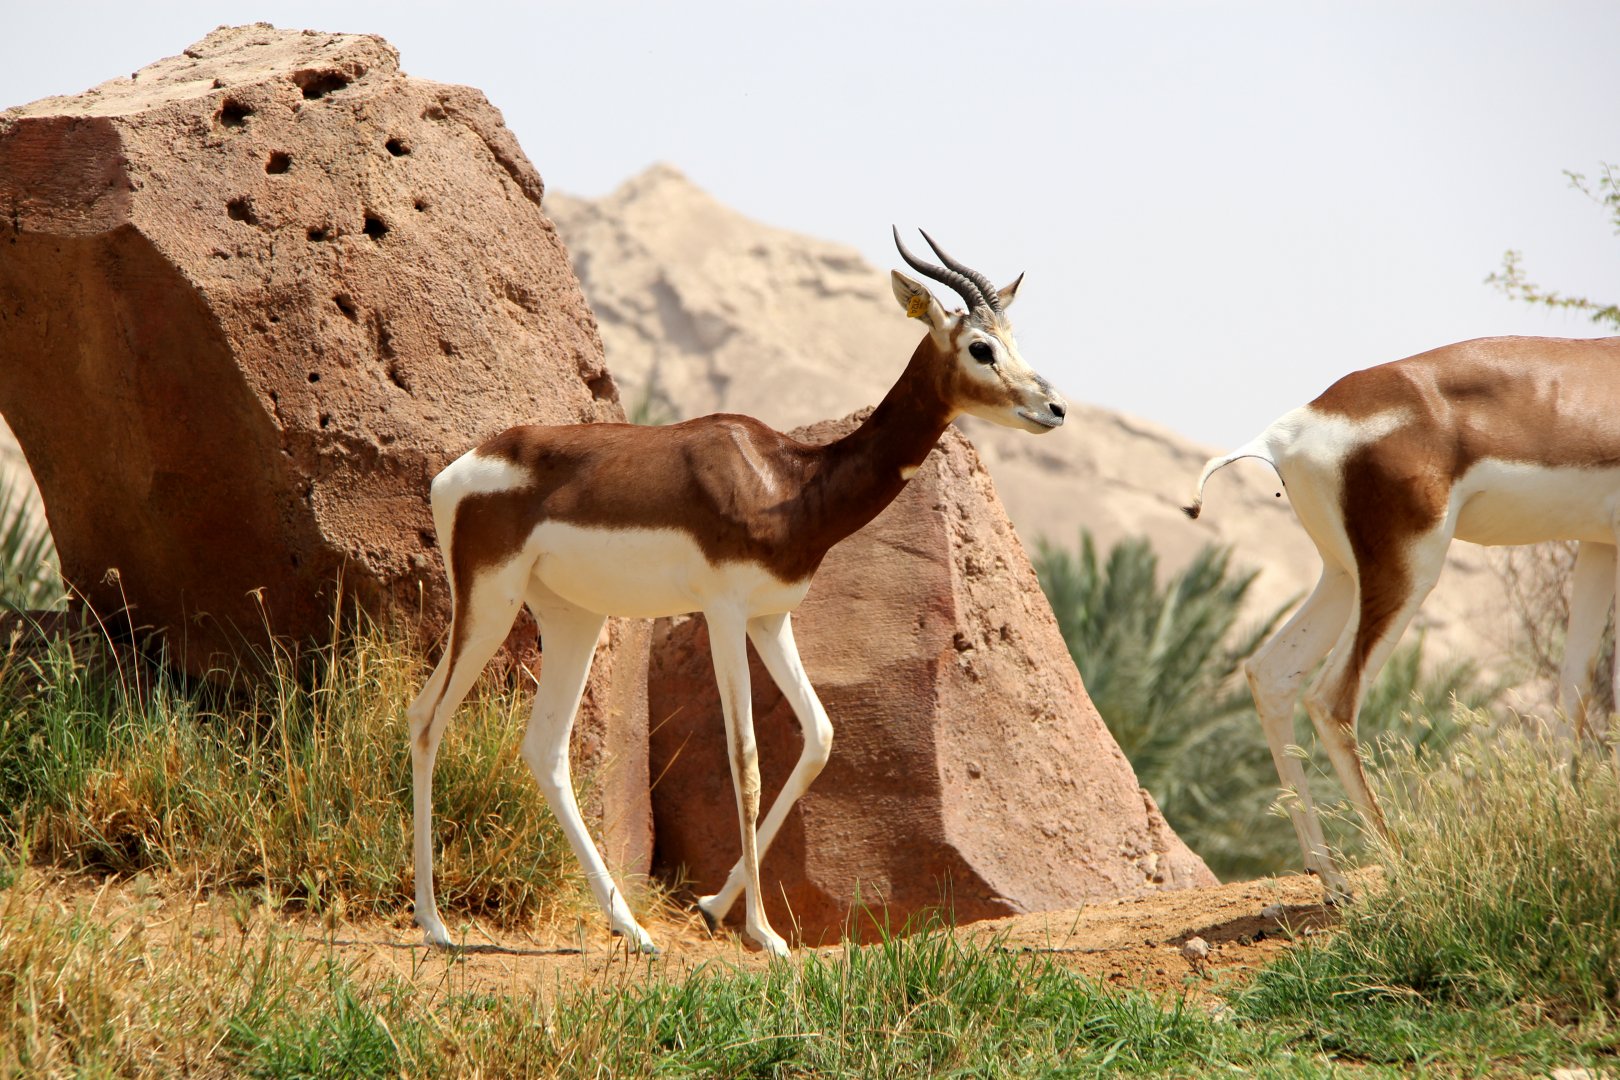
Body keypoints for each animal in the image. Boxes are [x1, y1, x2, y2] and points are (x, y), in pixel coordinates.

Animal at [406, 230, 1067, 956]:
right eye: (980, 346)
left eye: (1013, 337)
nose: (1054, 407)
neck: (790, 482)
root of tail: (456, 471)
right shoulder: (722, 612)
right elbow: (745, 757)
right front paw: (763, 932)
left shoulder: (771, 618)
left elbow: (820, 736)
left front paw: (711, 906)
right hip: (488, 604)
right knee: (428, 719)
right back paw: (434, 923)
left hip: (572, 617)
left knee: (542, 748)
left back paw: (633, 929)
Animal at [1185, 335, 1620, 899]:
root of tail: (1287, 431)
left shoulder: (1599, 543)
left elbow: (1575, 685)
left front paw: (1563, 819)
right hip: (1410, 572)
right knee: (1332, 697)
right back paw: (1402, 864)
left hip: (1343, 576)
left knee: (1271, 672)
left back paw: (1332, 880)